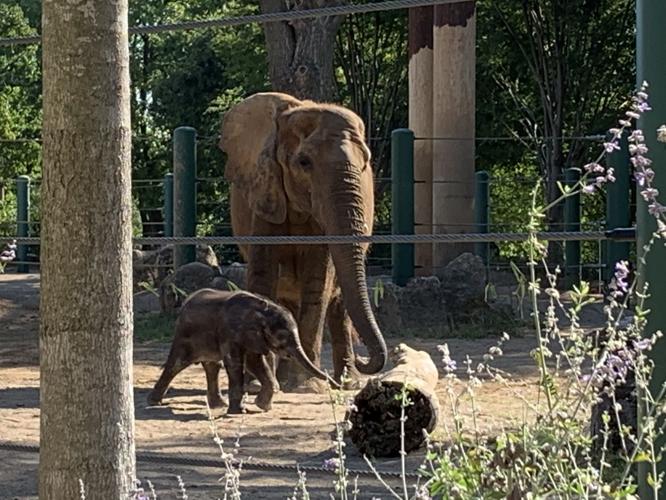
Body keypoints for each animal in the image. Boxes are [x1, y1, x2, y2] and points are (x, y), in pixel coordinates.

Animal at [147, 288, 337, 414]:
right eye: (282, 336)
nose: (338, 384)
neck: (263, 310)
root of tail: (187, 301)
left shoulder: (254, 337)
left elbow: (255, 362)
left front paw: (262, 407)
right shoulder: (229, 332)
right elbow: (235, 363)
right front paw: (240, 411)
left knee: (212, 366)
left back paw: (219, 405)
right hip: (184, 335)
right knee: (176, 364)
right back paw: (154, 402)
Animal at [218, 92, 388, 392]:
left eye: (364, 163)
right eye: (304, 163)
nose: (366, 360)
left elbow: (318, 280)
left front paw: (306, 386)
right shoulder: (265, 191)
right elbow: (263, 275)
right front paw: (257, 383)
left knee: (339, 302)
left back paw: (347, 383)